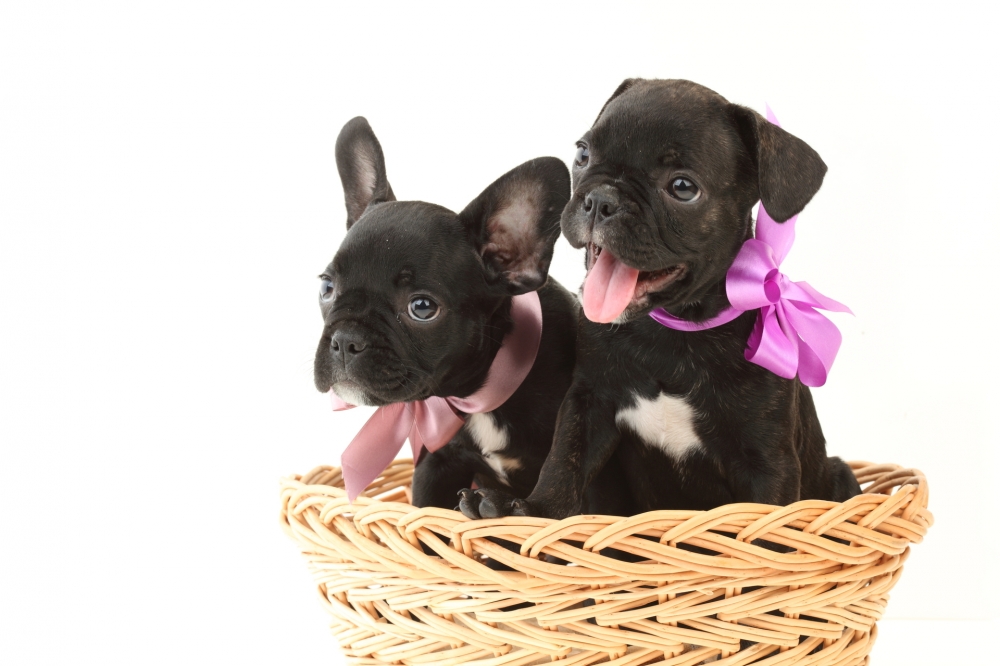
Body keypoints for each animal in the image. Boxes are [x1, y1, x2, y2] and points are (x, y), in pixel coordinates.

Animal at [459, 79, 861, 521]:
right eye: (583, 154)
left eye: (682, 188)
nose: (601, 200)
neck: (674, 331)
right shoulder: (588, 403)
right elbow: (563, 462)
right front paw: (537, 510)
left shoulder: (767, 459)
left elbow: (768, 517)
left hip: (840, 474)